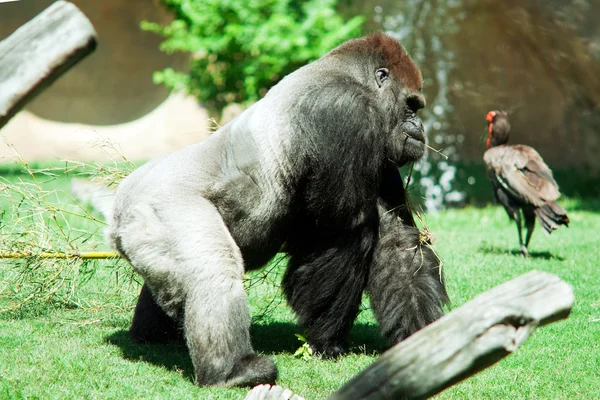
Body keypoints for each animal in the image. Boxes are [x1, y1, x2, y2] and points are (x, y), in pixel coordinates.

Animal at [108, 34, 448, 388]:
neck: (350, 76)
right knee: (212, 269)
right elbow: (342, 234)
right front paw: (326, 341)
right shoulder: (346, 110)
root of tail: (117, 208)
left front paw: (423, 337)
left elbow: (396, 239)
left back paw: (152, 335)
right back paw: (233, 372)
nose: (420, 126)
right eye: (411, 105)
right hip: (157, 203)